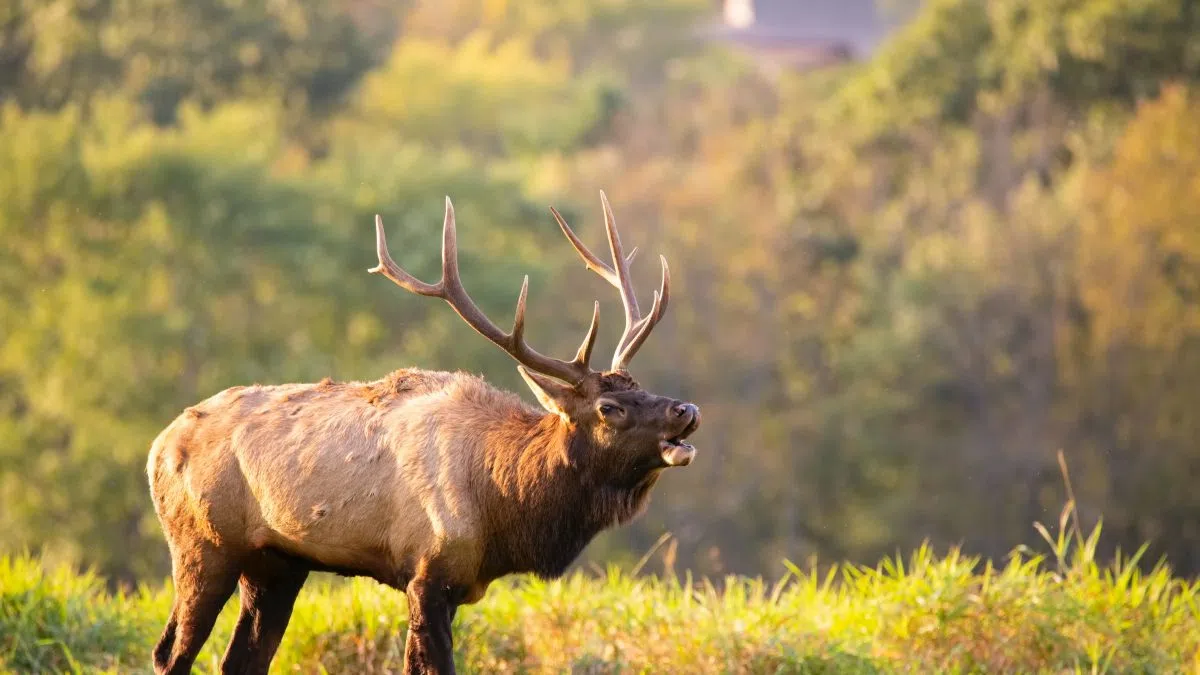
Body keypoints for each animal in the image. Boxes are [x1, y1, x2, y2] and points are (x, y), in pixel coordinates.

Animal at [146, 192, 700, 675]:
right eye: (609, 408)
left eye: (641, 387)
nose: (686, 409)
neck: (503, 506)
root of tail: (156, 448)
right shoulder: (427, 571)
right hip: (203, 543)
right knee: (170, 652)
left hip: (276, 564)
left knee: (241, 659)